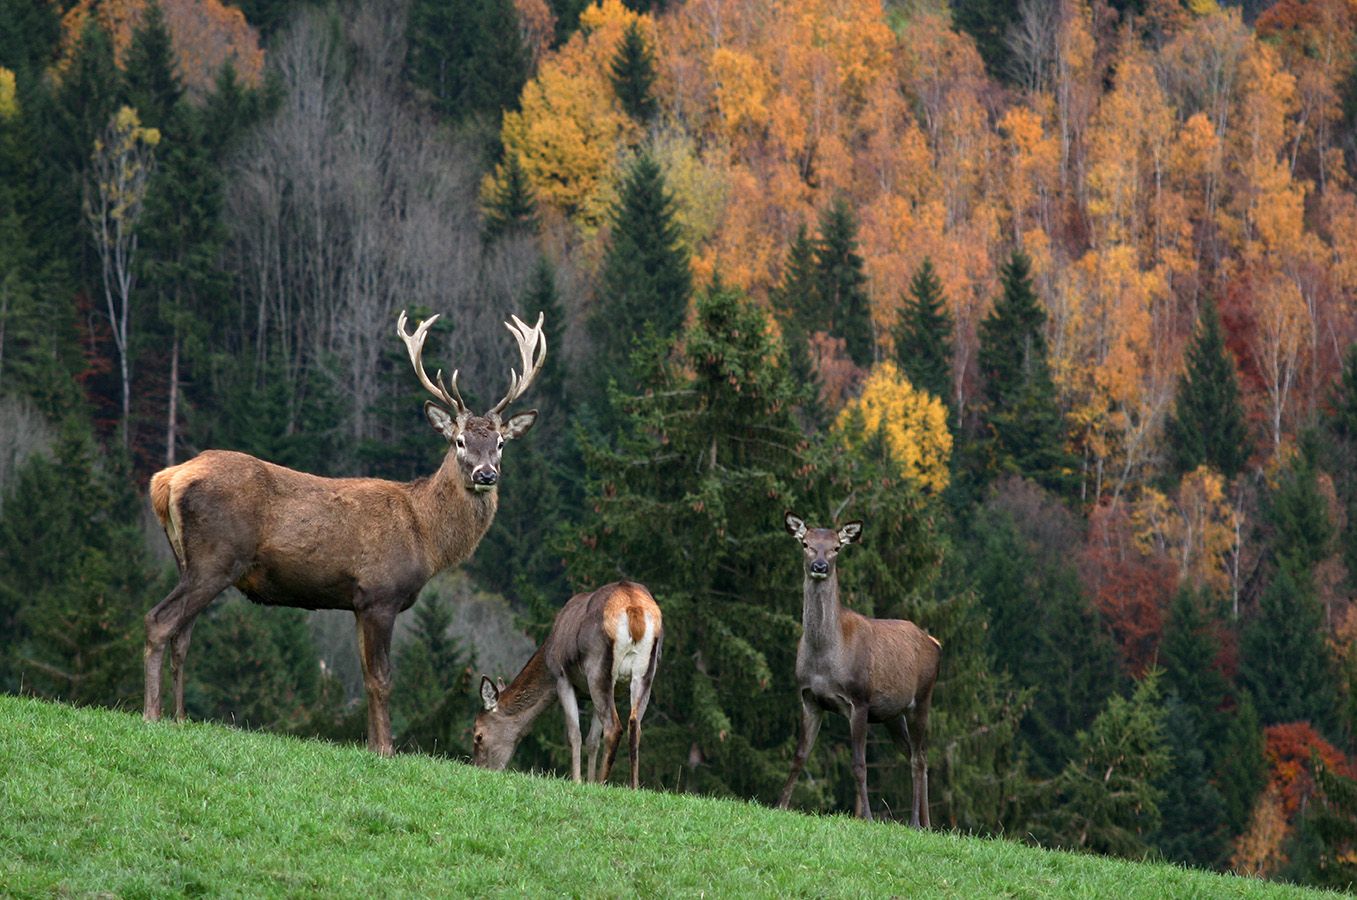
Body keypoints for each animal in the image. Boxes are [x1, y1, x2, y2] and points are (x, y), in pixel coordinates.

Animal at [144, 313, 545, 754]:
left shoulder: (357, 603)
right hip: (215, 557)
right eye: (459, 441)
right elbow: (383, 678)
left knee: (182, 635)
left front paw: (370, 745)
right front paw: (387, 749)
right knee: (160, 620)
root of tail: (166, 479)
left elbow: (367, 676)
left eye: (501, 443)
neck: (425, 537)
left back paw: (180, 718)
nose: (485, 475)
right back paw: (151, 713)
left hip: (188, 559)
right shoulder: (380, 594)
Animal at [477, 583, 662, 787]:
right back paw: (633, 787)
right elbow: (592, 740)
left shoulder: (562, 678)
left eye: (478, 735)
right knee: (634, 726)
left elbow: (574, 734)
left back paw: (602, 782)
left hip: (597, 669)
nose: (479, 769)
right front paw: (588, 781)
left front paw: (578, 781)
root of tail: (634, 609)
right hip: (645, 674)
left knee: (613, 728)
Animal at [776, 513, 944, 825]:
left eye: (836, 548)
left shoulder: (860, 699)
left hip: (923, 697)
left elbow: (859, 764)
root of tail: (934, 642)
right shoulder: (808, 698)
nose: (820, 566)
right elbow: (800, 755)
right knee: (916, 753)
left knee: (918, 757)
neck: (826, 658)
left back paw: (915, 822)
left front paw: (866, 816)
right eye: (806, 544)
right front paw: (781, 805)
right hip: (893, 714)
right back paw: (927, 824)